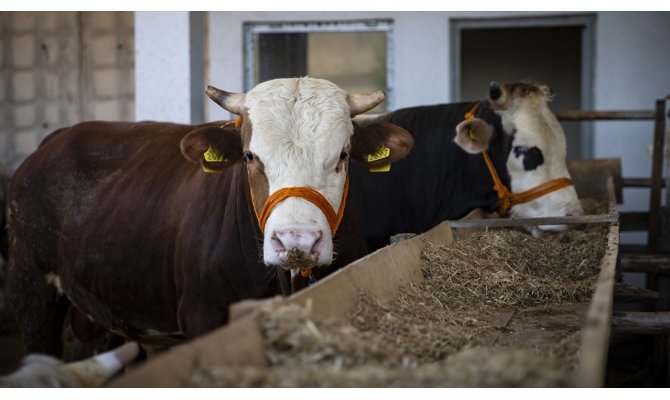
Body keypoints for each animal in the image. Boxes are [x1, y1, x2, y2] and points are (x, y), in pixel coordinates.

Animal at [6, 77, 414, 356]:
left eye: (342, 154)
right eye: (250, 156)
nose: (296, 241)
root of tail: (56, 138)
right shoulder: (203, 315)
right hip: (32, 292)